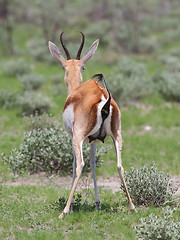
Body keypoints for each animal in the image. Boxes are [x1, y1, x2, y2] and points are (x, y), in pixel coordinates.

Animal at [48, 32, 134, 219]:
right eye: (83, 67)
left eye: (63, 67)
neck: (75, 93)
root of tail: (103, 97)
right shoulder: (94, 140)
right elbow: (94, 163)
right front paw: (97, 203)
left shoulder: (73, 136)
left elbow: (75, 165)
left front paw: (72, 205)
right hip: (117, 136)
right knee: (120, 166)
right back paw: (132, 206)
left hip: (79, 137)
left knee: (80, 165)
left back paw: (64, 211)